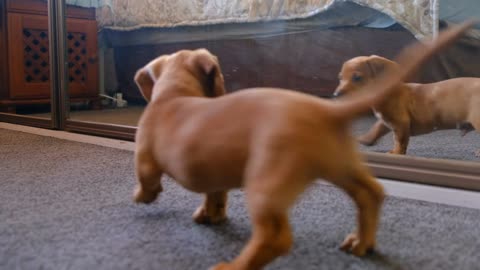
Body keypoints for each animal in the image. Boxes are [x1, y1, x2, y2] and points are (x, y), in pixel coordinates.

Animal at [334, 48, 480, 156]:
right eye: (340, 78)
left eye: (357, 78)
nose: (336, 95)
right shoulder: (386, 120)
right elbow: (378, 128)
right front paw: (366, 139)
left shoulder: (401, 123)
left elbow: (399, 141)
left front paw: (396, 153)